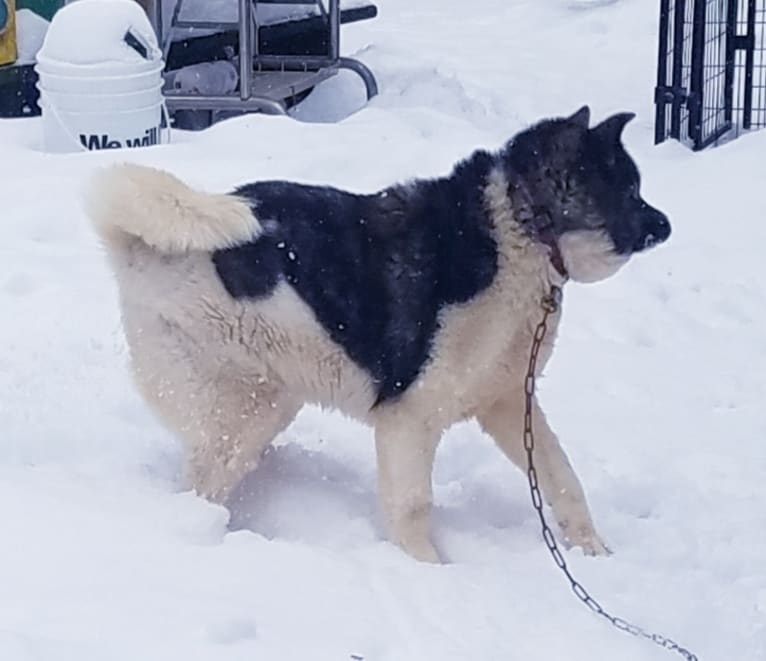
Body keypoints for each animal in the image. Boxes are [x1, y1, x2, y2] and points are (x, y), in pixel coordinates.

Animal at [85, 108, 672, 564]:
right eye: (630, 190)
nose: (666, 225)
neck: (517, 231)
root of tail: (135, 248)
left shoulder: (508, 404)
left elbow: (561, 476)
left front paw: (593, 551)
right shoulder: (408, 419)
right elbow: (412, 505)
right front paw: (428, 571)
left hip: (270, 397)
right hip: (243, 408)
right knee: (202, 483)